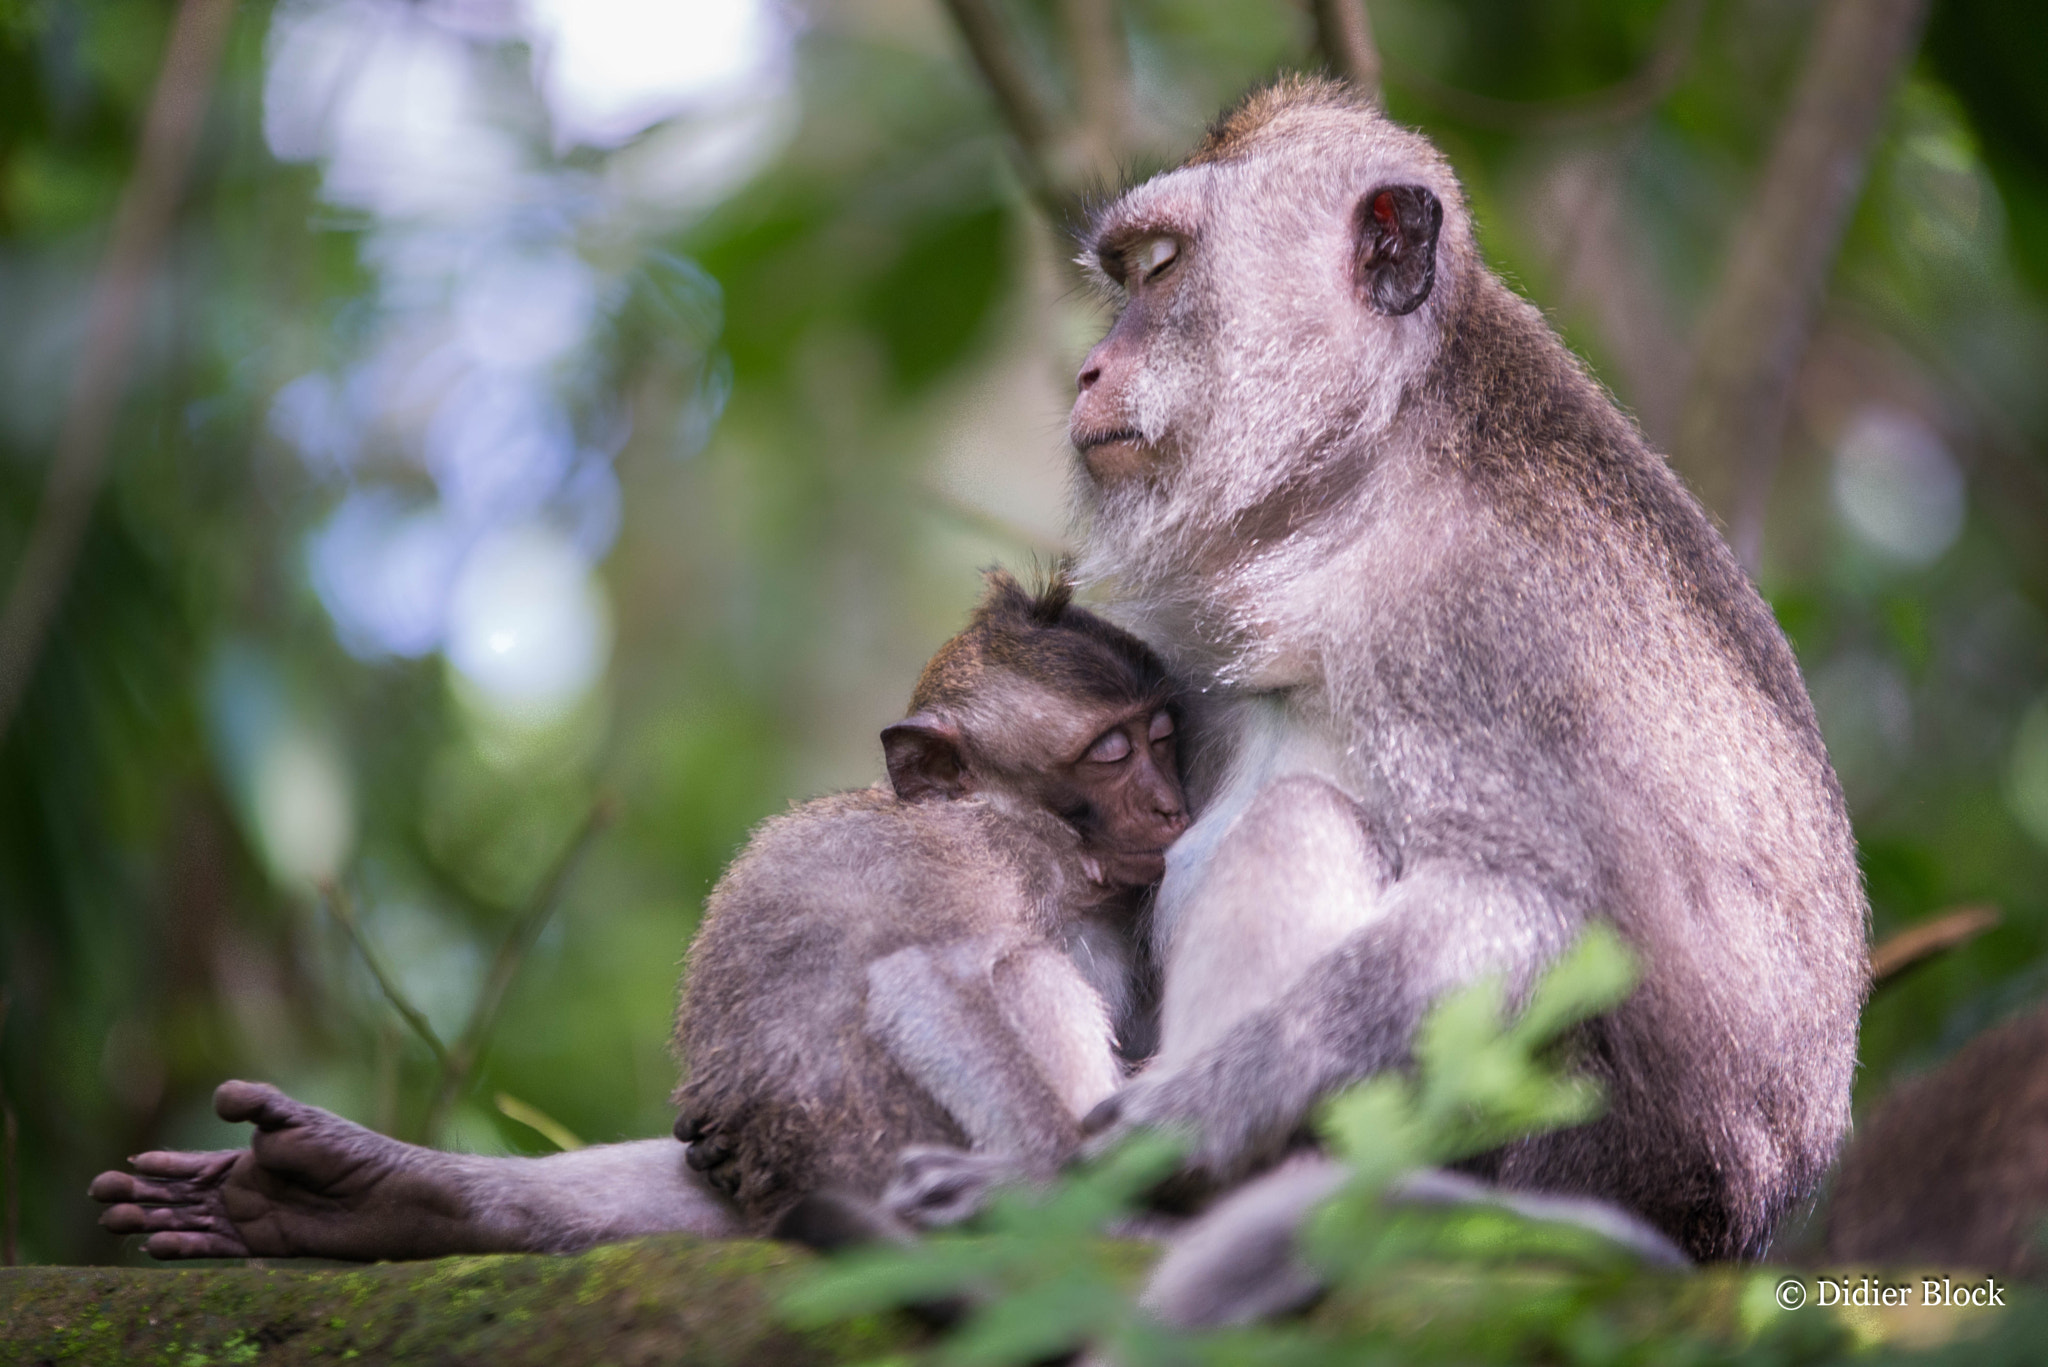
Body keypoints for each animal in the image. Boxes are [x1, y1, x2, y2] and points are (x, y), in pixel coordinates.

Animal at [88, 570, 1188, 1258]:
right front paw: (1069, 1183)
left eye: (1164, 735)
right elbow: (938, 979)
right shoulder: (996, 852)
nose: (1173, 806)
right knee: (1020, 974)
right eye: (1110, 751)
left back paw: (358, 1196)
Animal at [1058, 76, 1868, 1273]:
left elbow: (1525, 910)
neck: (1376, 460)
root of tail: (1709, 1227)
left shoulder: (1474, 613)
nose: (1088, 369)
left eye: (1161, 269)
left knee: (1301, 821)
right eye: (1130, 272)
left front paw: (1179, 1120)